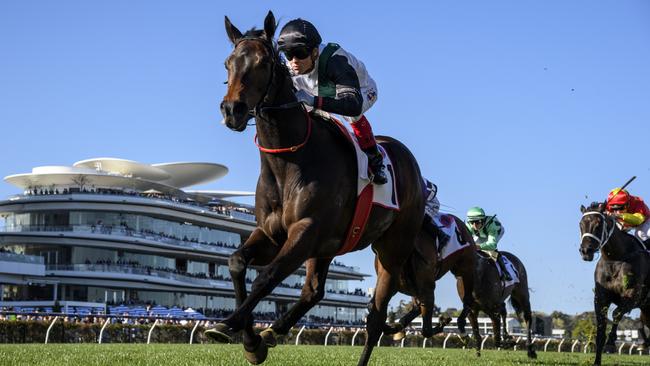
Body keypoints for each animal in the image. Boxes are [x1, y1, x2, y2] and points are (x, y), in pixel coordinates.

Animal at [205, 11, 422, 366]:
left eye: (263, 62)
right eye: (228, 63)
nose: (232, 110)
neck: (288, 161)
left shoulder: (305, 231)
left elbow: (266, 277)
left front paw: (230, 324)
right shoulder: (271, 233)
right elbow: (237, 263)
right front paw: (252, 342)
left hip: (392, 250)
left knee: (375, 317)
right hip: (329, 246)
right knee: (314, 291)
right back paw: (274, 330)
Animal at [576, 203, 648, 366]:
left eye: (598, 224)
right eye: (580, 224)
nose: (585, 251)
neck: (615, 258)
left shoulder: (632, 296)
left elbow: (616, 313)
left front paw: (610, 344)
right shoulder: (600, 298)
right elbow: (600, 329)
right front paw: (597, 360)